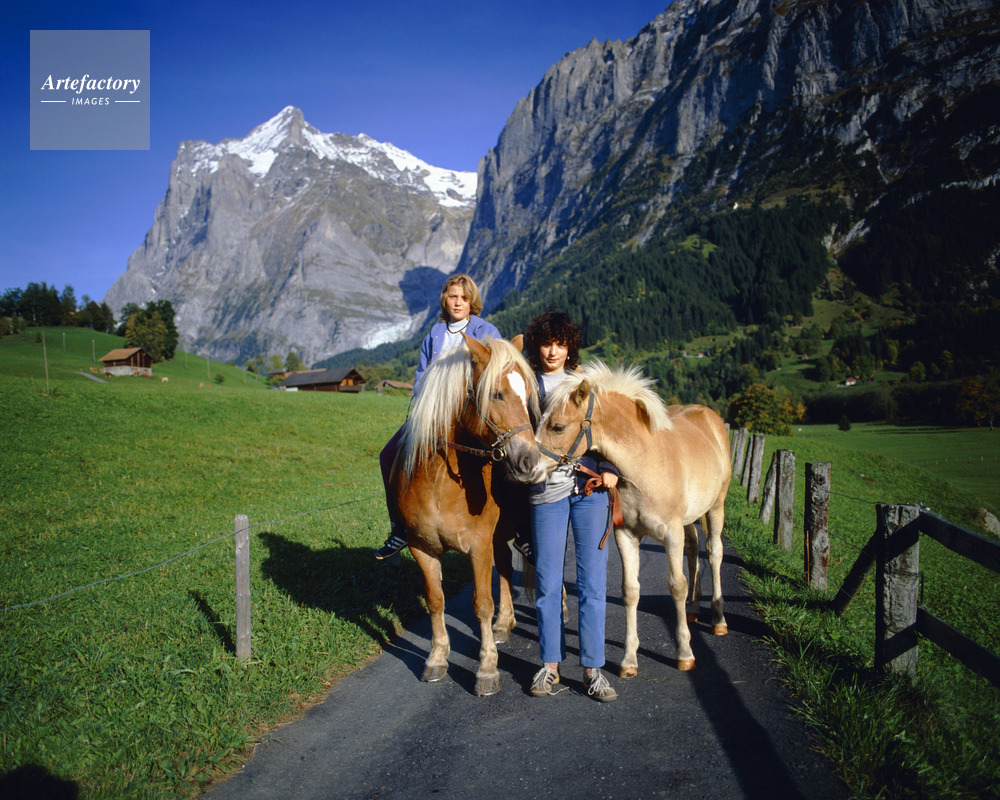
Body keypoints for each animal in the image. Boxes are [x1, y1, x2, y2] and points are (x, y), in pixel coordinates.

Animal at [389, 334, 545, 696]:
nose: (531, 462)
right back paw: (504, 623)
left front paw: (487, 668)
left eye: (527, 396)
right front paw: (436, 658)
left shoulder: (478, 547)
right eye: (496, 393)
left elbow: (482, 604)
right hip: (499, 537)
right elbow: (435, 601)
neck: (437, 483)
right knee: (506, 570)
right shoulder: (422, 548)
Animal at [534, 361, 731, 674]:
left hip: (715, 508)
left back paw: (719, 619)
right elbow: (631, 590)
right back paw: (693, 608)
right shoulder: (625, 534)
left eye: (558, 426)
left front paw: (685, 653)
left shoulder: (671, 534)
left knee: (713, 553)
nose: (527, 464)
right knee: (693, 550)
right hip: (691, 519)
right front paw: (629, 659)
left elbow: (676, 586)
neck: (646, 463)